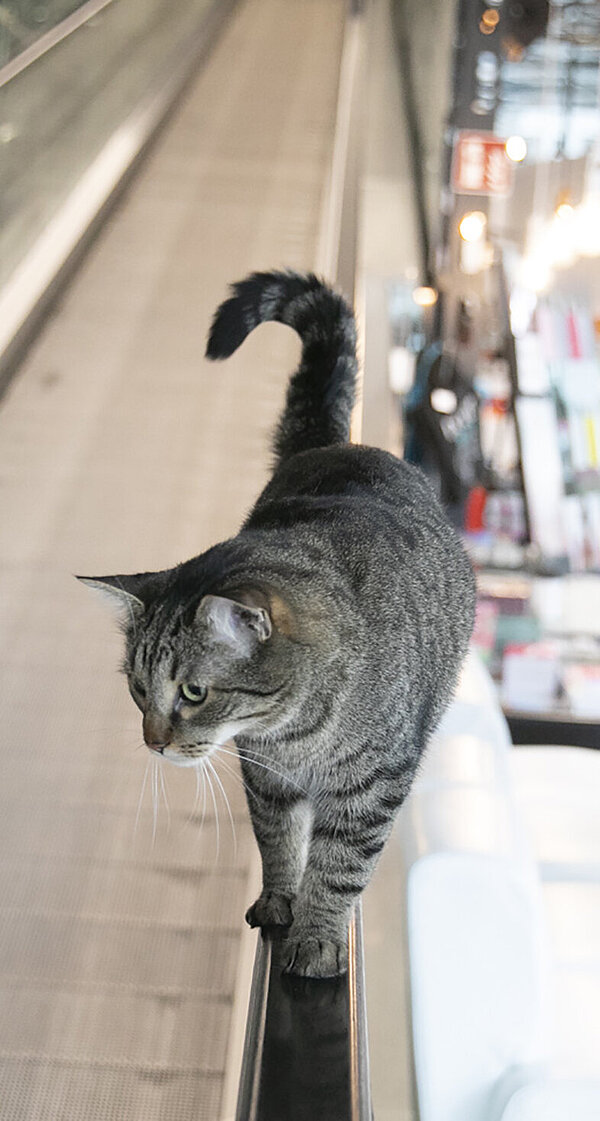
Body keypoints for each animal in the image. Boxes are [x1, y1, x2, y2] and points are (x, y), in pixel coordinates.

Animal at [79, 273, 477, 981]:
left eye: (193, 693)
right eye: (137, 689)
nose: (153, 743)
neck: (294, 733)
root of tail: (333, 442)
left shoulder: (372, 788)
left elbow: (340, 866)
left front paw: (317, 936)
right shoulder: (266, 778)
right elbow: (279, 842)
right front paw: (279, 900)